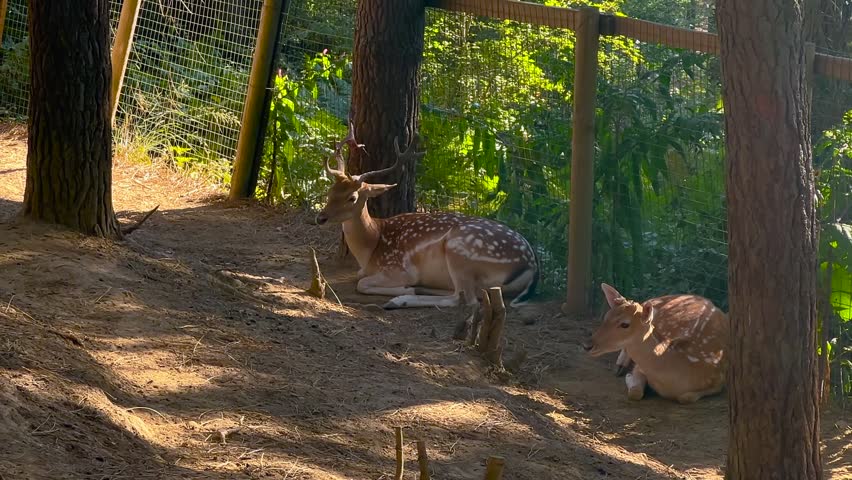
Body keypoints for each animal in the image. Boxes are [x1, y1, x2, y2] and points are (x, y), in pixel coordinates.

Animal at [315, 124, 539, 310]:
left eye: (352, 197)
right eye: (331, 190)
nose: (320, 218)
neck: (371, 245)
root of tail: (532, 266)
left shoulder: (397, 268)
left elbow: (362, 283)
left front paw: (406, 288)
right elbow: (359, 276)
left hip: (459, 253)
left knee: (463, 299)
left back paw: (400, 299)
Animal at [582, 283, 729, 404]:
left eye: (625, 324)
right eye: (606, 316)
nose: (587, 345)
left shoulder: (719, 381)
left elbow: (686, 397)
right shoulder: (640, 367)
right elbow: (635, 393)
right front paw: (629, 377)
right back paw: (620, 366)